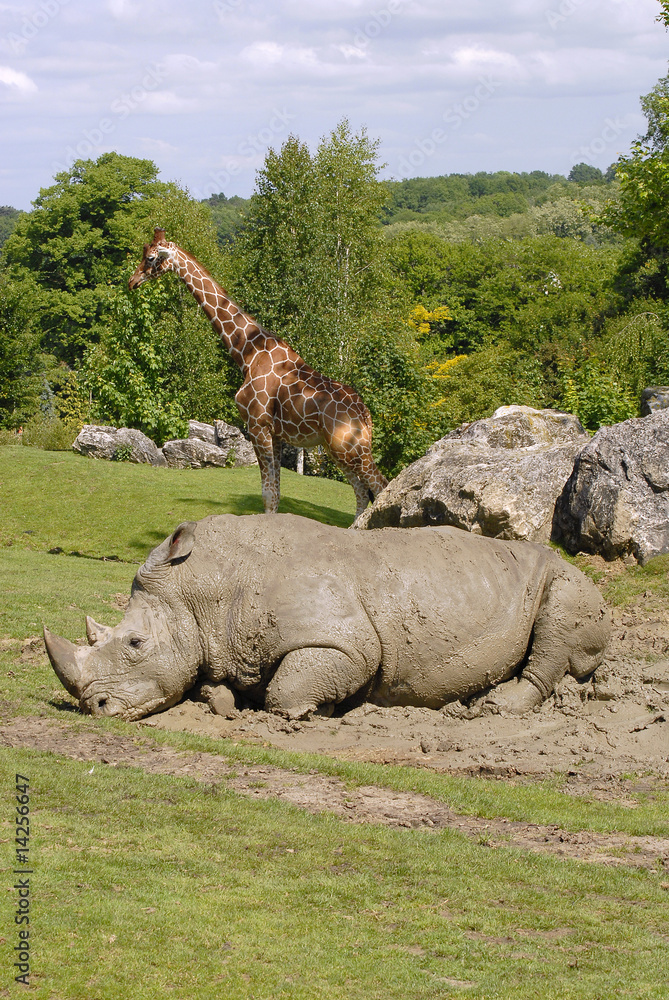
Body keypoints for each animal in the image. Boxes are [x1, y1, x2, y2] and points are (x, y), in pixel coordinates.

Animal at [128, 228, 388, 516]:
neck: (247, 353)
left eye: (151, 258)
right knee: (361, 491)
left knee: (380, 485)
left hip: (350, 447)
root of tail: (365, 415)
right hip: (338, 449)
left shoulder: (257, 425)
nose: (132, 281)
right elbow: (274, 495)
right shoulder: (275, 434)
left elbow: (267, 495)